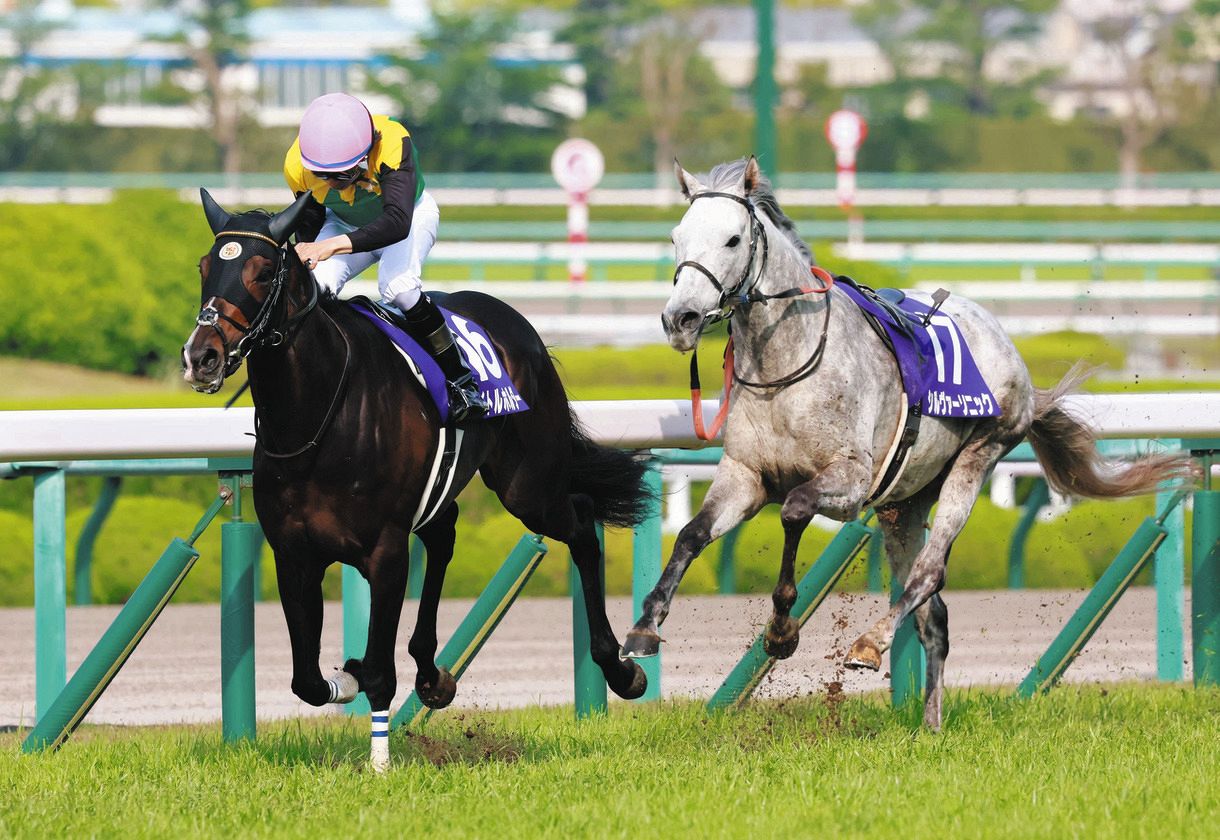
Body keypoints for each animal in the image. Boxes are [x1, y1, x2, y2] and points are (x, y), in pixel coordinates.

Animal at [182, 190, 651, 769]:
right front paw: (347, 677)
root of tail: (516, 322)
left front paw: (379, 763)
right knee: (444, 534)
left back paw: (621, 669)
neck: (318, 415)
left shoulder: (385, 551)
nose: (201, 356)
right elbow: (307, 681)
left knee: (582, 524)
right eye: (204, 267)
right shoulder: (293, 553)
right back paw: (434, 677)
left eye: (263, 271)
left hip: (530, 486)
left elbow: (380, 673)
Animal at [621, 157, 1194, 730]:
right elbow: (691, 535)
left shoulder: (849, 480)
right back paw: (930, 726)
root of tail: (1008, 347)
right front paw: (645, 628)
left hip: (978, 456)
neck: (786, 363)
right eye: (676, 237)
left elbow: (794, 510)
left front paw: (782, 629)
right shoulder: (746, 475)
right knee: (933, 614)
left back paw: (870, 644)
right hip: (905, 503)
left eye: (733, 239)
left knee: (929, 573)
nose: (680, 319)